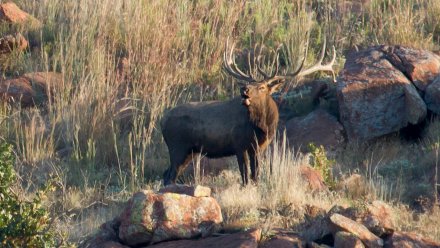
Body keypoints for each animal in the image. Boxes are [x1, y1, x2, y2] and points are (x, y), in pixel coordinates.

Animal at [162, 37, 336, 184]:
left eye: (262, 86)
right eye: (250, 84)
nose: (244, 89)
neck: (263, 127)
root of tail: (162, 121)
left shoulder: (258, 148)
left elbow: (255, 175)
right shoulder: (239, 145)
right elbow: (245, 177)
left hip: (189, 152)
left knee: (166, 174)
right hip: (177, 146)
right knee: (169, 175)